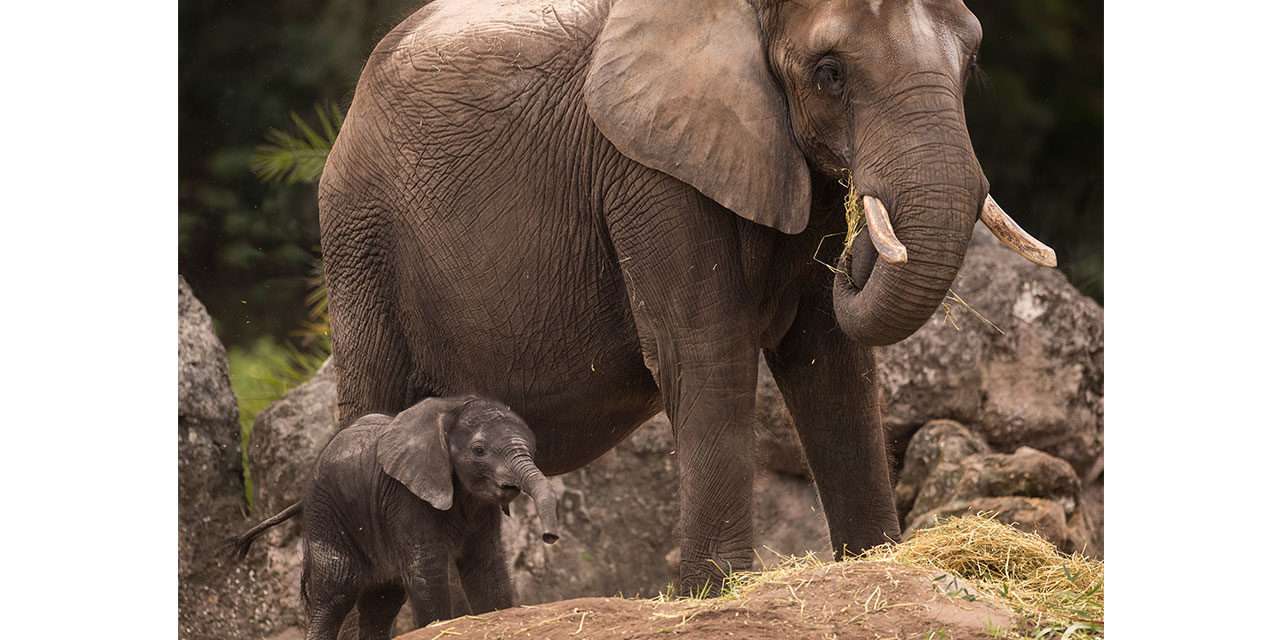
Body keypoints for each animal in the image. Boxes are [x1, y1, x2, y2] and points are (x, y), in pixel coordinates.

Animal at [238, 394, 558, 640]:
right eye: (479, 450)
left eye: (533, 448)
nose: (550, 536)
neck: (449, 410)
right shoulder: (405, 497)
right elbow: (426, 570)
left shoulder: (481, 507)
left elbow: (486, 565)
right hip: (326, 511)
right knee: (334, 592)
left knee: (382, 601)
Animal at [317, 0, 1049, 593]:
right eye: (830, 73)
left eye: (971, 61)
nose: (855, 245)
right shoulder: (647, 167)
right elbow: (704, 349)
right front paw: (716, 593)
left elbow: (830, 362)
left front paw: (877, 565)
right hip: (361, 242)